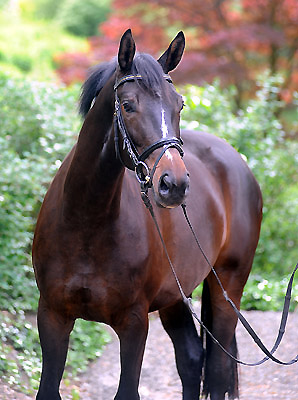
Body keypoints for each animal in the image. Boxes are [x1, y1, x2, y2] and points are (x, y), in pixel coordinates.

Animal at [31, 30, 262, 400]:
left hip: (228, 285)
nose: (174, 184)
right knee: (191, 359)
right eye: (127, 105)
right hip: (175, 297)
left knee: (216, 368)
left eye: (179, 104)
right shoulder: (52, 316)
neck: (85, 224)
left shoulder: (134, 323)